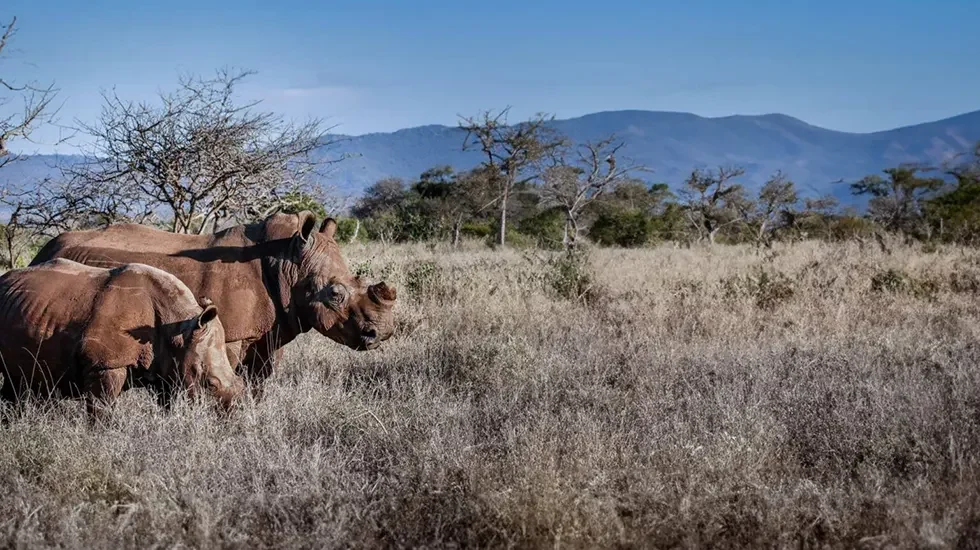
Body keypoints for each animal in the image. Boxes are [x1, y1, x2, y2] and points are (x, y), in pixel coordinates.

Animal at [0, 258, 245, 420]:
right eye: (210, 384)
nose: (229, 420)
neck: (177, 325)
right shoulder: (105, 363)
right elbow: (102, 409)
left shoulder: (168, 366)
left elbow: (168, 405)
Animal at [30, 211, 397, 385]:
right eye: (335, 294)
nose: (381, 334)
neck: (288, 263)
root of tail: (41, 251)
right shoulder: (231, 334)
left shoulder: (270, 331)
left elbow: (260, 382)